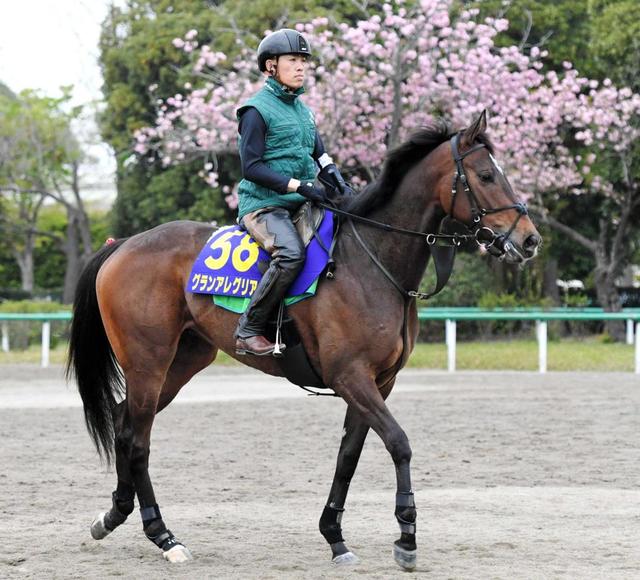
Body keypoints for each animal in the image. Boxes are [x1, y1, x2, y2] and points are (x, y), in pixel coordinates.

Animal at [69, 112, 540, 572]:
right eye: (486, 174)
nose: (529, 239)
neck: (370, 261)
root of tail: (124, 244)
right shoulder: (351, 377)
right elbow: (399, 443)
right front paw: (406, 534)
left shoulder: (378, 383)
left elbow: (349, 455)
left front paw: (335, 535)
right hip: (148, 362)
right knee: (139, 440)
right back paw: (164, 536)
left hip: (183, 361)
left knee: (124, 422)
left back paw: (113, 515)